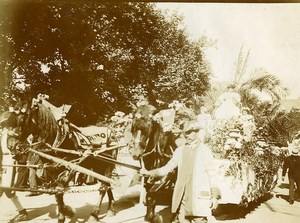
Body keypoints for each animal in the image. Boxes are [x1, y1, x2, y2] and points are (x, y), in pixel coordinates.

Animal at [2, 95, 119, 223]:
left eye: (22, 119)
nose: (10, 146)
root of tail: (110, 131)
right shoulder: (51, 170)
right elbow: (57, 193)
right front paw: (63, 214)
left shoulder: (70, 168)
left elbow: (59, 191)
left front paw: (68, 211)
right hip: (97, 166)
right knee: (107, 184)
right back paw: (110, 208)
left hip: (107, 165)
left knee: (103, 187)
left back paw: (95, 213)